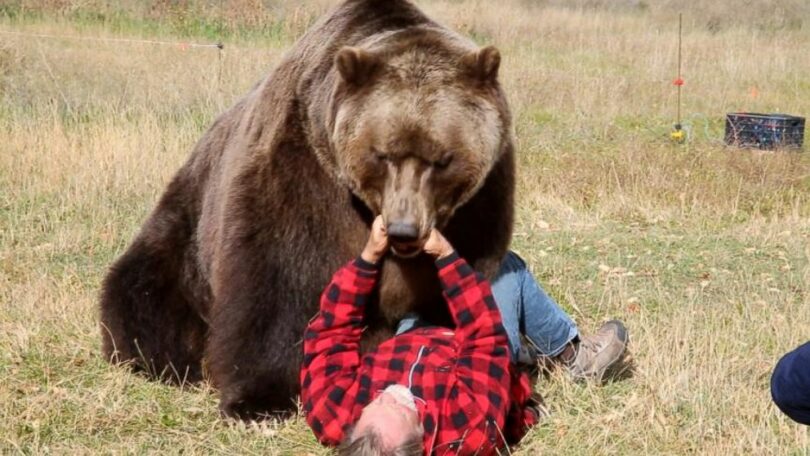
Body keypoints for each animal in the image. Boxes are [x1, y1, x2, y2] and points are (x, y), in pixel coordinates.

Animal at [99, 0, 512, 420]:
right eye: (383, 154)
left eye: (442, 159)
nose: (404, 230)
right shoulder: (300, 174)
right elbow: (277, 280)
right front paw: (258, 398)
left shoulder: (479, 209)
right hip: (187, 231)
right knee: (143, 292)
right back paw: (167, 360)